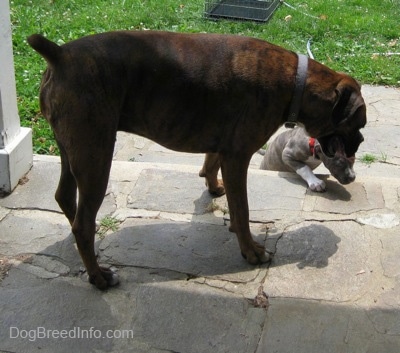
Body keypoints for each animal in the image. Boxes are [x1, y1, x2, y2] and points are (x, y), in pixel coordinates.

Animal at [27, 31, 366, 288]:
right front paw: (250, 250)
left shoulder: (223, 147)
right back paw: (98, 276)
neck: (296, 81)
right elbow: (242, 209)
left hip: (73, 151)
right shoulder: (238, 156)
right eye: (359, 123)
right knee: (83, 223)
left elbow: (212, 166)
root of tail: (60, 54)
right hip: (95, 157)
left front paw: (215, 189)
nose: (361, 141)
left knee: (65, 198)